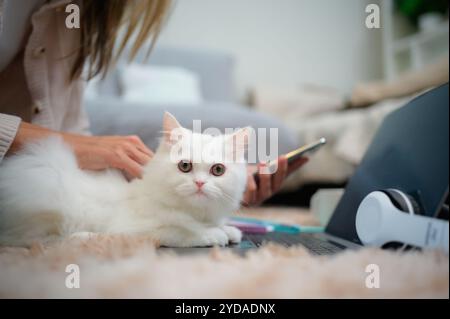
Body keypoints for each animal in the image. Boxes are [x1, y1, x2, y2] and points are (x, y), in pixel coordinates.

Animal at [0, 112, 250, 248]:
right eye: (185, 166)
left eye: (218, 170)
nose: (199, 183)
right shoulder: (137, 229)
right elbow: (180, 232)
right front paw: (212, 234)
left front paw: (228, 230)